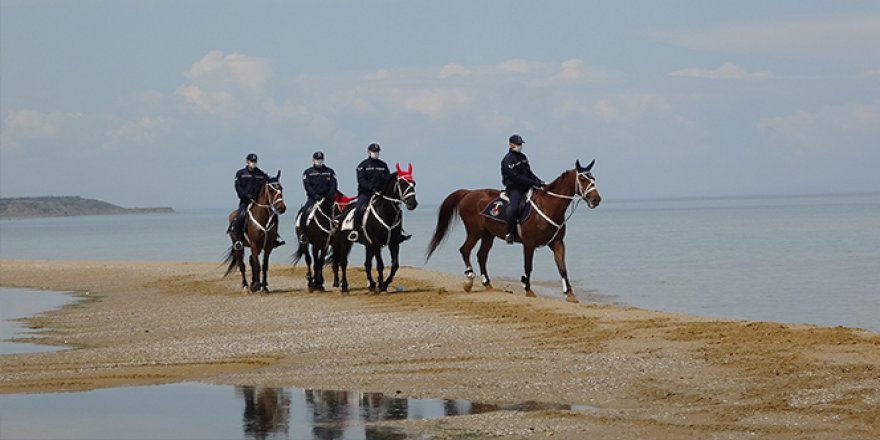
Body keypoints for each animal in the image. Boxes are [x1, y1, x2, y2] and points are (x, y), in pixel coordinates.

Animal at [334, 163, 420, 294]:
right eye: (402, 183)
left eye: (413, 183)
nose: (412, 204)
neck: (385, 211)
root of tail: (344, 211)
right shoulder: (376, 243)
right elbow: (380, 265)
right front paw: (381, 285)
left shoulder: (393, 243)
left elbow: (395, 265)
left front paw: (384, 284)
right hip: (346, 242)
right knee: (343, 263)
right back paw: (344, 287)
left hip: (368, 245)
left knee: (367, 264)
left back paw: (371, 285)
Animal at [424, 161, 600, 302]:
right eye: (582, 179)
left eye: (593, 178)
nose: (596, 199)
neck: (547, 206)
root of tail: (469, 193)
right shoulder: (529, 244)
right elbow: (528, 267)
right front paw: (528, 290)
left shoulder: (557, 243)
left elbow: (562, 268)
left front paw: (570, 294)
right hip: (475, 232)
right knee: (465, 250)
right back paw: (469, 280)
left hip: (488, 235)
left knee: (481, 256)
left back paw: (488, 284)